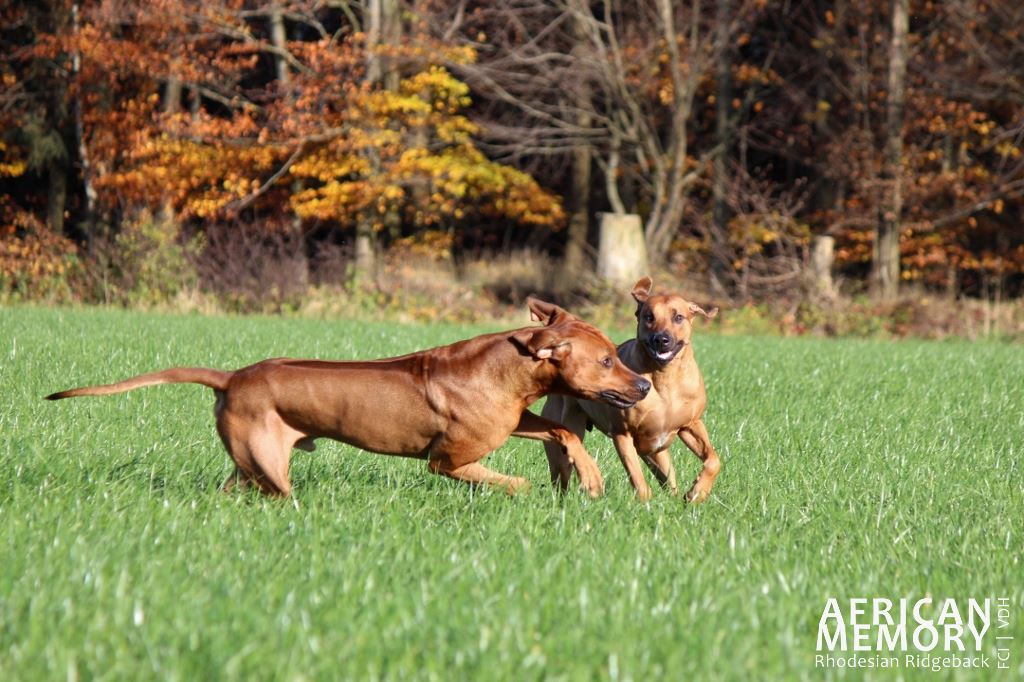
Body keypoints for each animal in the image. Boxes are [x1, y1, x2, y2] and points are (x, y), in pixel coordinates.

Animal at [47, 299, 651, 497]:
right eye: (606, 361)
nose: (644, 385)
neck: (508, 366)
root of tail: (233, 377)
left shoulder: (512, 417)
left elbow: (563, 429)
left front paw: (591, 478)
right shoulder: (447, 461)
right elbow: (505, 479)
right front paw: (529, 492)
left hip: (250, 463)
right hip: (270, 469)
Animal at [542, 278, 720, 502]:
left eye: (678, 317)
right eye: (649, 317)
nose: (661, 339)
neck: (665, 379)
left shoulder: (691, 424)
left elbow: (714, 459)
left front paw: (697, 492)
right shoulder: (622, 434)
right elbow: (637, 477)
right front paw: (645, 503)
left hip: (657, 451)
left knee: (668, 477)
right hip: (564, 434)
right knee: (562, 473)